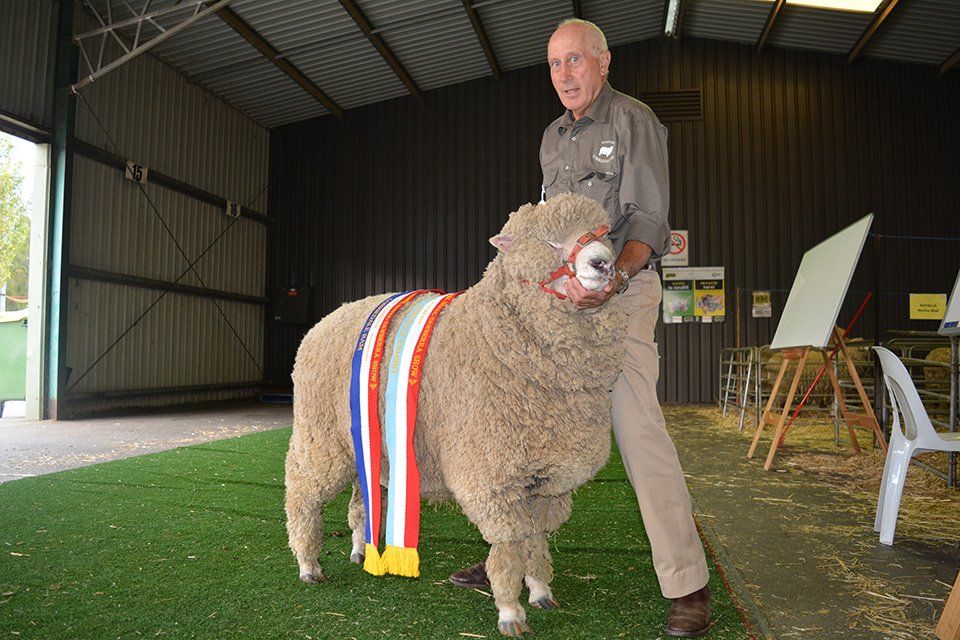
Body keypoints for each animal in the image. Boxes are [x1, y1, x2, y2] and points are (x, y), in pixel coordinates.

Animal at [285, 193, 627, 637]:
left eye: (605, 233)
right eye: (548, 242)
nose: (603, 262)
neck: (497, 335)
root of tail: (323, 321)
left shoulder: (545, 480)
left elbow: (535, 541)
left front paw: (540, 590)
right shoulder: (493, 474)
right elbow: (508, 549)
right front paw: (510, 610)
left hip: (367, 444)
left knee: (361, 497)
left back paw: (361, 549)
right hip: (320, 438)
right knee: (302, 495)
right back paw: (309, 564)